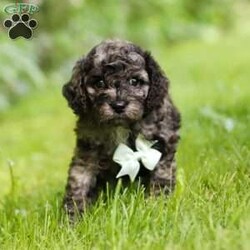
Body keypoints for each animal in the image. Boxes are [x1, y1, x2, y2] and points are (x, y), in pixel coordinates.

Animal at [61, 39, 181, 217]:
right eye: (99, 83)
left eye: (134, 81)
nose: (118, 105)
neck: (121, 126)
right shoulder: (88, 147)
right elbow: (78, 180)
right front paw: (73, 217)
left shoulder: (163, 140)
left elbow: (161, 175)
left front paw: (158, 205)